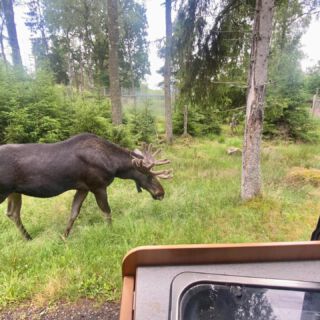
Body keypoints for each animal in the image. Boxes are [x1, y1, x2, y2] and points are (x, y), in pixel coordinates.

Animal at [0, 133, 172, 240]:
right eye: (149, 175)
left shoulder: (83, 187)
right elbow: (106, 212)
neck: (115, 166)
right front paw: (112, 232)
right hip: (4, 191)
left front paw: (63, 237)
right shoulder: (98, 185)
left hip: (14, 191)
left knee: (12, 213)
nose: (161, 192)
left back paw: (28, 238)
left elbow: (74, 213)